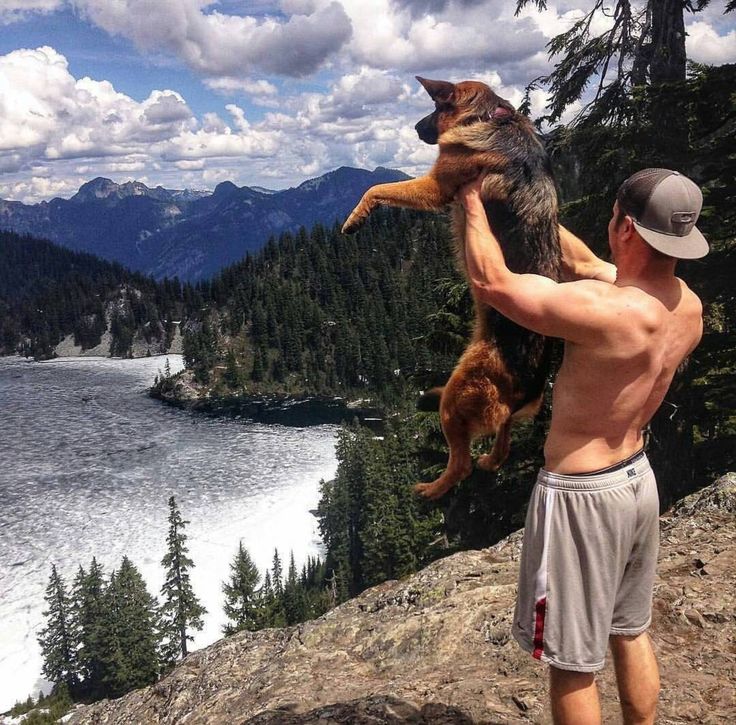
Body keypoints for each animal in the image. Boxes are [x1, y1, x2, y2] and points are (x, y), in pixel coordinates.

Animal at [342, 78, 560, 498]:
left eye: (435, 106)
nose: (413, 128)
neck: (489, 117)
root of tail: (529, 389)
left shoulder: (434, 186)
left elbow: (376, 187)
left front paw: (355, 217)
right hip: (491, 412)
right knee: (500, 447)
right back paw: (486, 456)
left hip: (460, 397)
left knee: (460, 464)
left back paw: (429, 489)